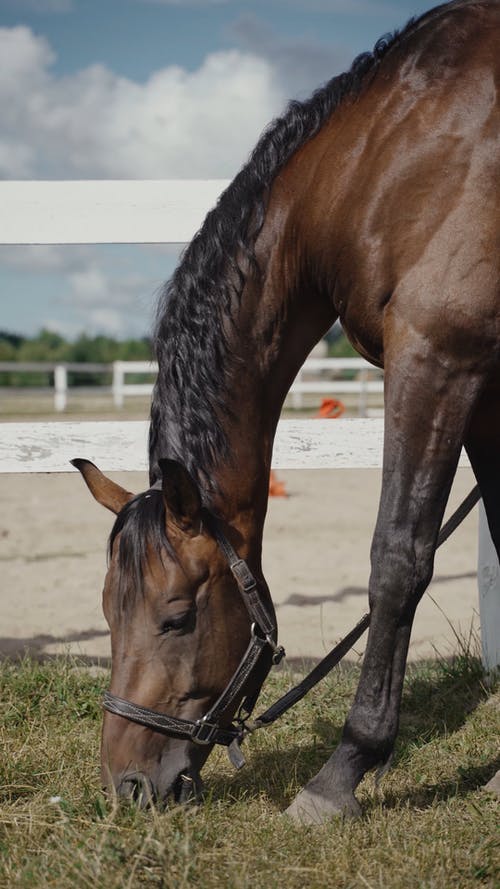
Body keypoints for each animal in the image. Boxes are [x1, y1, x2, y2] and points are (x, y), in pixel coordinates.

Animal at [73, 0, 500, 824]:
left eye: (178, 615)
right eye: (106, 610)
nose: (127, 785)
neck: (377, 161)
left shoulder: (438, 358)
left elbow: (398, 561)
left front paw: (341, 772)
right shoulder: (491, 386)